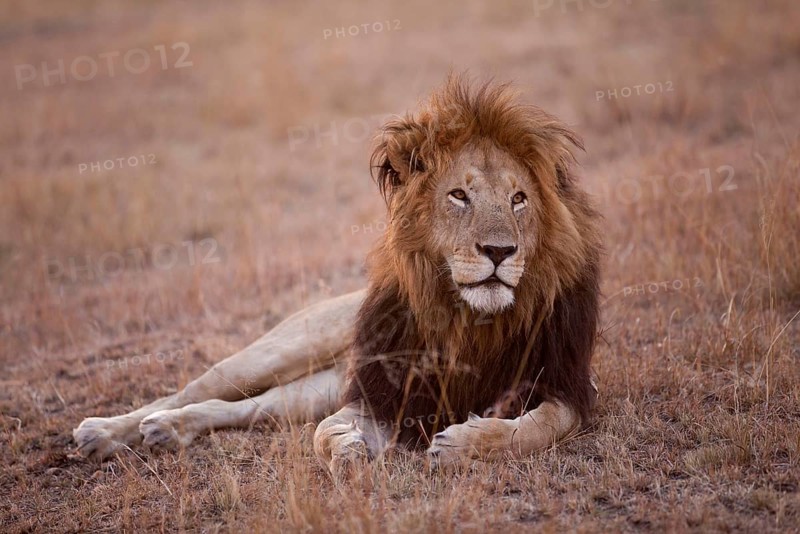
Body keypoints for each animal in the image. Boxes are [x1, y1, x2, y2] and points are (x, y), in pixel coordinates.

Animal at [73, 76, 602, 476]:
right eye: (459, 196)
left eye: (519, 199)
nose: (499, 251)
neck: (469, 321)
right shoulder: (378, 391)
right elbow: (324, 433)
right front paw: (347, 449)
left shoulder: (568, 386)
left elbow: (532, 430)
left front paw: (465, 443)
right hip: (280, 351)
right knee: (192, 389)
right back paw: (105, 431)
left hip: (314, 388)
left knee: (246, 407)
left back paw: (168, 428)